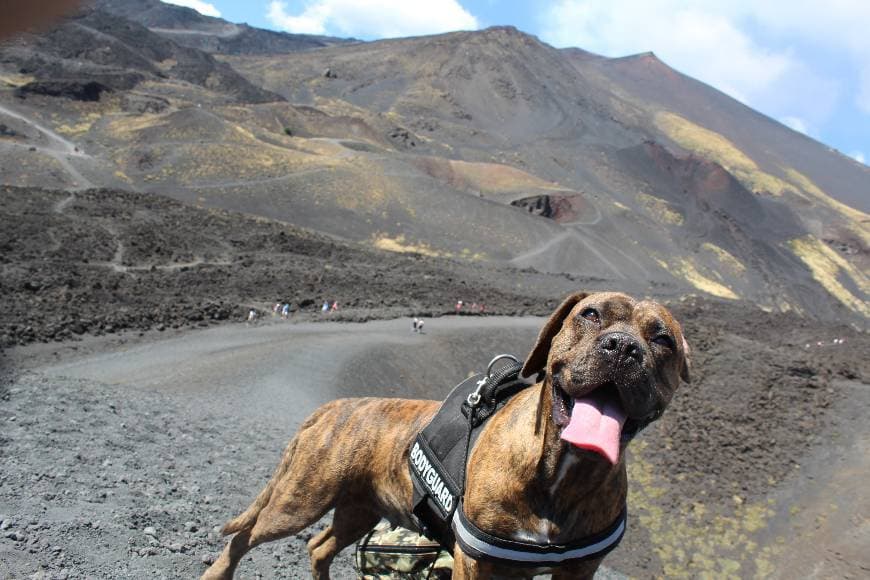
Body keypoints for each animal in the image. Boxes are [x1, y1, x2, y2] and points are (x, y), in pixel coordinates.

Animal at [201, 292, 692, 576]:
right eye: (590, 315)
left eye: (662, 339)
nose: (623, 347)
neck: (561, 471)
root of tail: (336, 406)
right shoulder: (475, 564)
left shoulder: (578, 571)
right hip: (298, 501)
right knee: (244, 537)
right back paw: (217, 573)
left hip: (358, 508)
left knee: (320, 547)